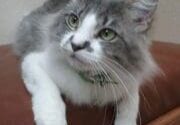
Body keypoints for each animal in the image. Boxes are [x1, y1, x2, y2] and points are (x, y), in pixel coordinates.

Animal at [13, 0, 158, 125]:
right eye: (73, 20)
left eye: (107, 34)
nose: (76, 45)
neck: (89, 78)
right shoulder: (32, 61)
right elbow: (49, 91)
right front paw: (53, 120)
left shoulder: (129, 80)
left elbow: (131, 104)